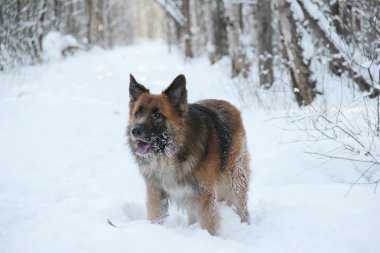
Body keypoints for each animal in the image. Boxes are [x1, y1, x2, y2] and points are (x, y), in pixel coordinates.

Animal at [127, 73, 251, 235]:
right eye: (137, 112)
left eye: (157, 115)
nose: (135, 131)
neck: (169, 155)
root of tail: (227, 104)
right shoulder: (156, 192)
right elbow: (155, 217)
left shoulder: (204, 194)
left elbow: (209, 224)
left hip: (233, 176)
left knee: (242, 206)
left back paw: (246, 226)